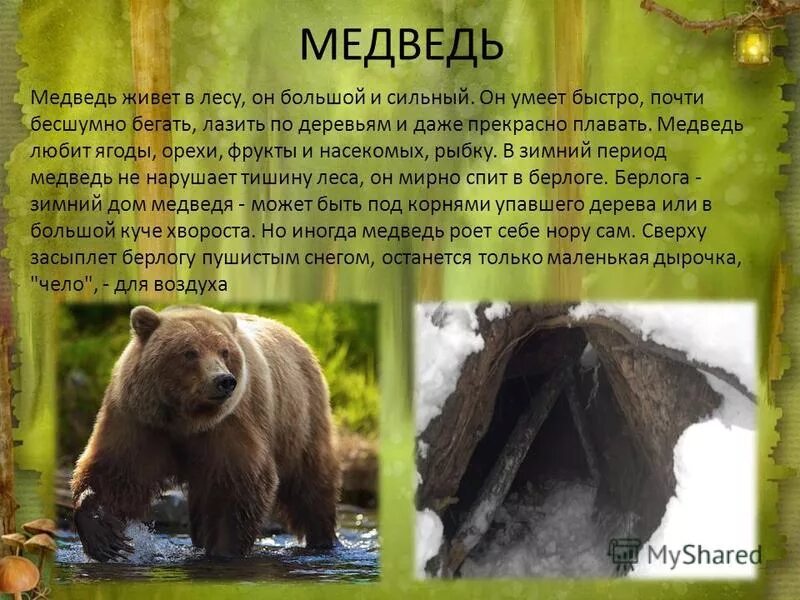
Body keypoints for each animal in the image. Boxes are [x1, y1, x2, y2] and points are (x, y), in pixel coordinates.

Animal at [71, 305, 341, 561]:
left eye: (224, 351)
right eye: (189, 352)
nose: (224, 380)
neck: (184, 420)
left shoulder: (229, 424)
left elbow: (237, 487)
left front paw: (224, 550)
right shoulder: (140, 421)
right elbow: (116, 471)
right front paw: (104, 535)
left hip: (300, 419)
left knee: (311, 483)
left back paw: (323, 539)